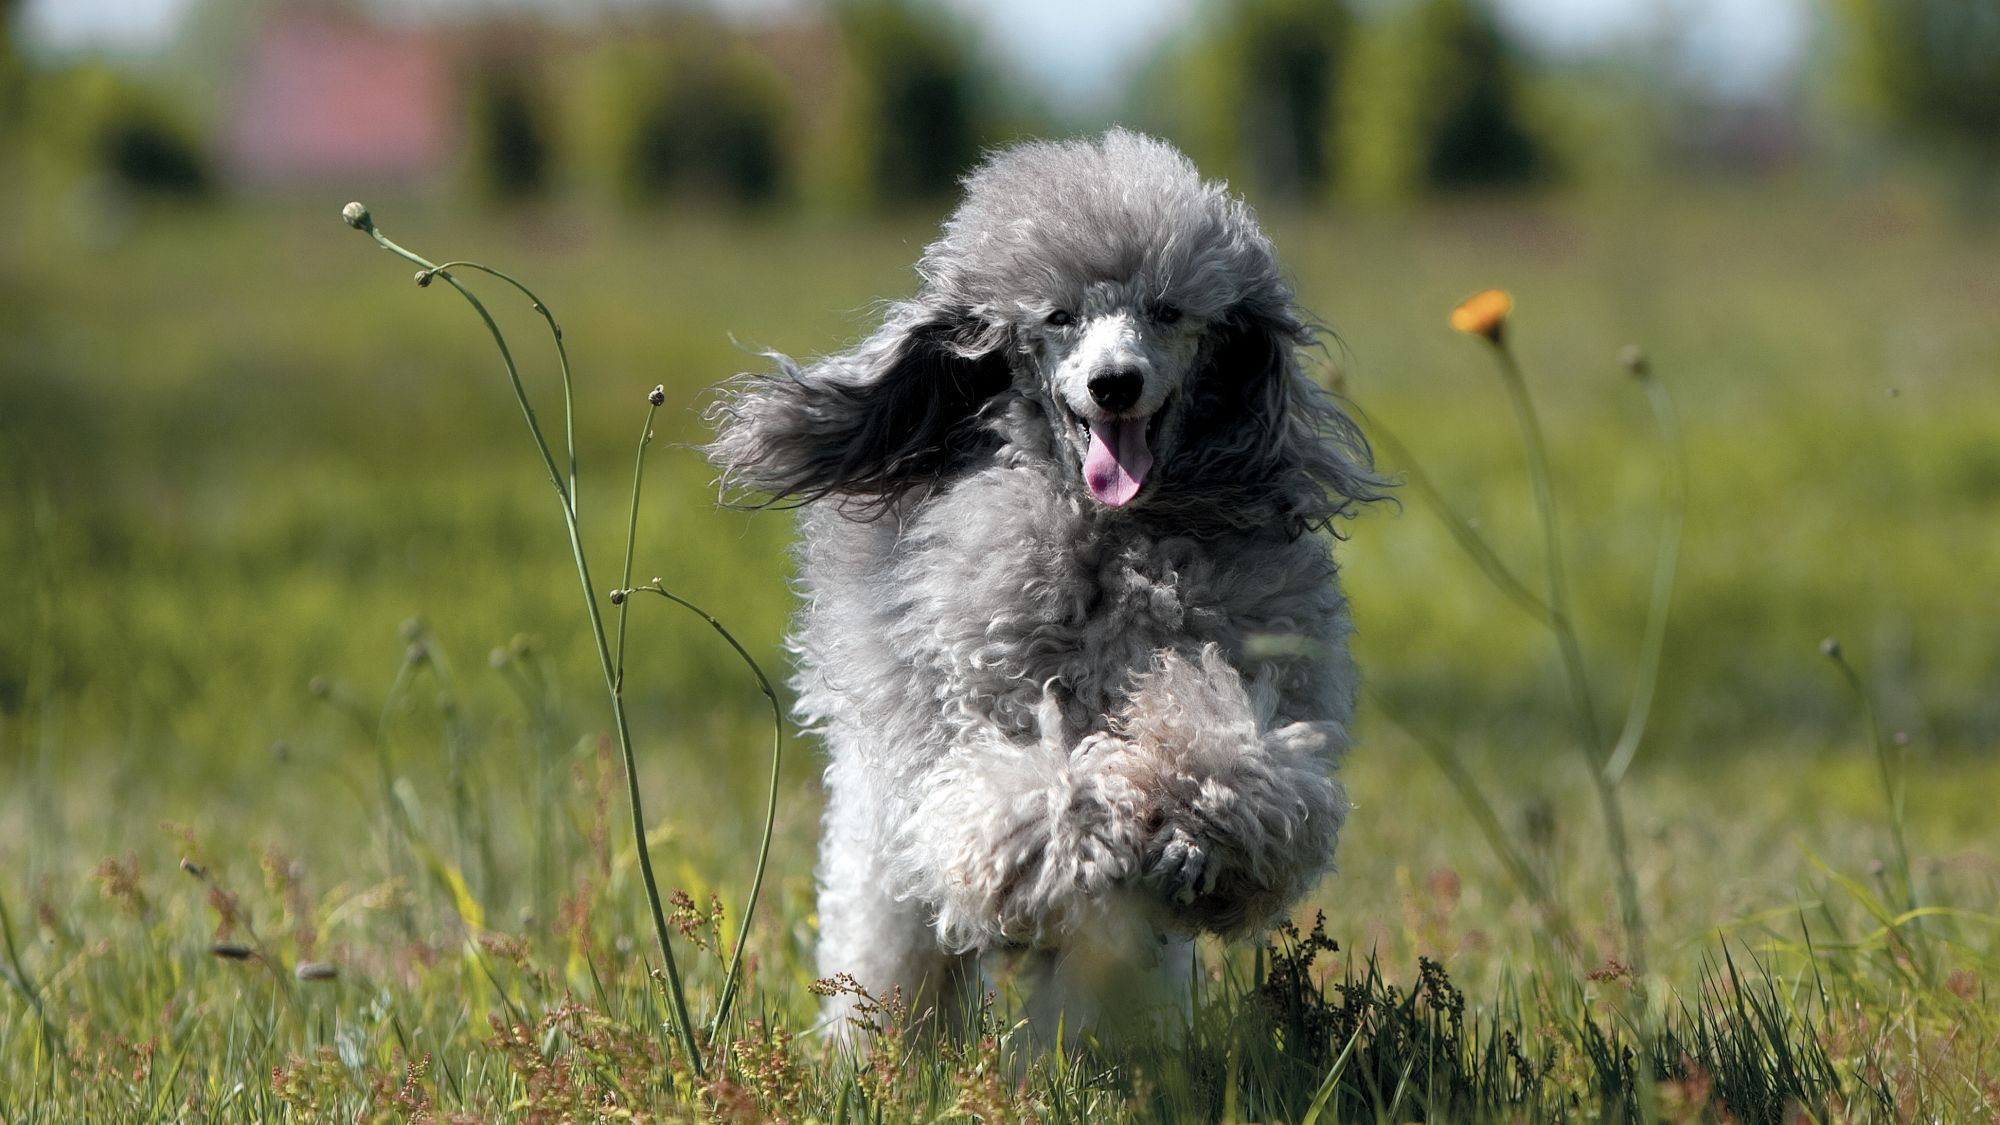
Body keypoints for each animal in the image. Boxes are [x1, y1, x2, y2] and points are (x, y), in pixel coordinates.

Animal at [712, 129, 1384, 1032]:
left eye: (1168, 311)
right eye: (1058, 317)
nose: (1114, 383)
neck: (1114, 539)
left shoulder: (1252, 671)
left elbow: (1240, 752)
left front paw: (1190, 833)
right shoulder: (978, 709)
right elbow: (1029, 786)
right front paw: (1091, 832)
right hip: (885, 879)